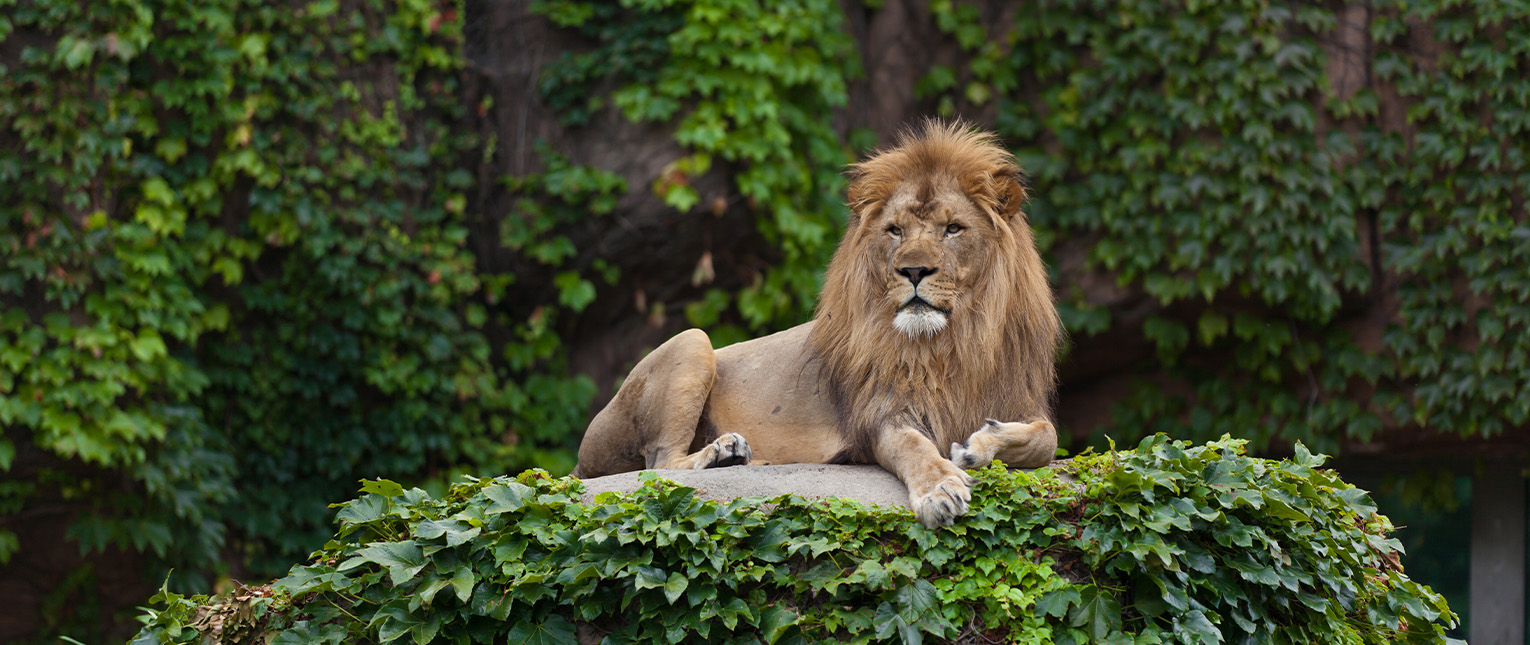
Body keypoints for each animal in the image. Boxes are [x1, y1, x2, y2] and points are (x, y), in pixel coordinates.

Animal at [571, 121, 1063, 527]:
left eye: (953, 228)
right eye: (895, 231)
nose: (913, 271)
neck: (950, 343)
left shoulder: (1018, 397)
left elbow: (1047, 436)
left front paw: (980, 446)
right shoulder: (879, 415)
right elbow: (915, 447)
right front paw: (939, 489)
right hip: (692, 342)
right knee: (658, 464)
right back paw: (725, 454)